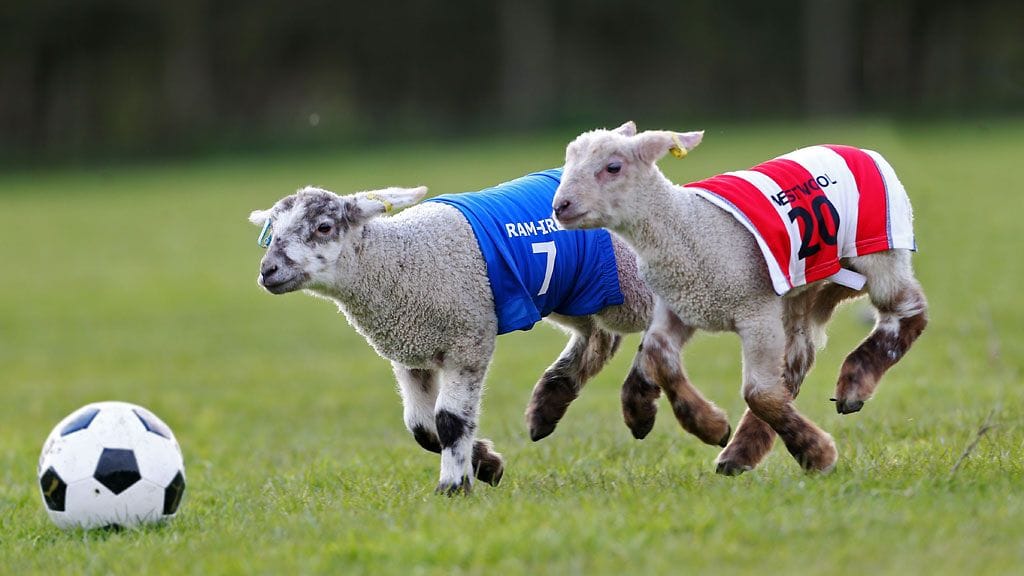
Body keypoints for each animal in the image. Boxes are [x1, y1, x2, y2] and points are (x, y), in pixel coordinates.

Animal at [247, 170, 731, 494]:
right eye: (271, 234)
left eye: (324, 227)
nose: (268, 271)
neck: (397, 261)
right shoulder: (410, 351)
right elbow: (421, 427)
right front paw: (486, 465)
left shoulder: (468, 337)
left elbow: (448, 419)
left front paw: (454, 487)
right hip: (574, 290)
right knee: (601, 338)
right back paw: (548, 406)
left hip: (628, 283)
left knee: (662, 327)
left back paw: (678, 417)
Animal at [552, 121, 928, 474]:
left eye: (613, 167)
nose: (560, 206)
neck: (686, 228)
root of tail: (857, 149)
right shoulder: (681, 304)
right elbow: (657, 353)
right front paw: (706, 426)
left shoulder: (755, 310)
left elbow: (758, 393)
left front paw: (818, 455)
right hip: (800, 286)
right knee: (796, 362)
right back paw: (740, 452)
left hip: (879, 250)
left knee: (909, 311)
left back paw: (852, 387)